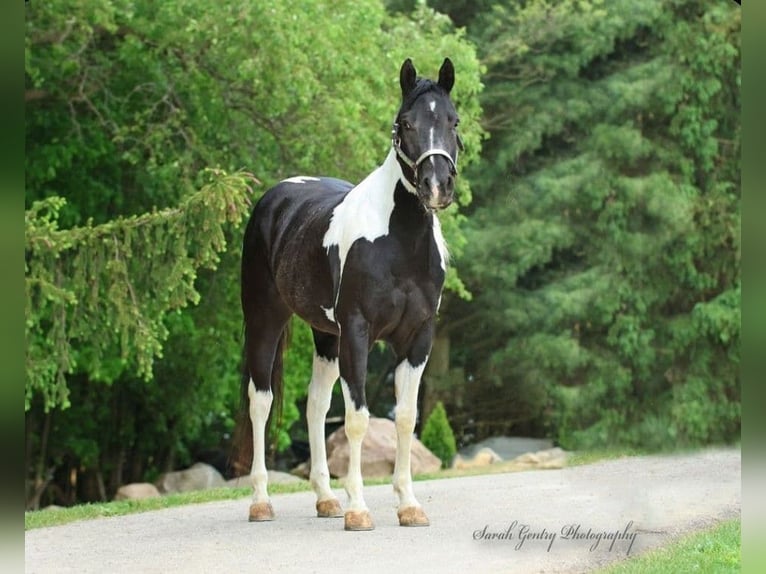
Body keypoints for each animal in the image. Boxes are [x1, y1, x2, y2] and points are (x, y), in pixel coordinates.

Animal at [237, 58, 463, 531]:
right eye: (406, 123)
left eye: (453, 120)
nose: (437, 186)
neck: (399, 241)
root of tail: (276, 195)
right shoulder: (358, 334)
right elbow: (358, 419)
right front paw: (359, 509)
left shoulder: (418, 338)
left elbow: (405, 418)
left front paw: (408, 505)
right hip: (265, 322)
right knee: (260, 402)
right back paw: (261, 502)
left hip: (326, 337)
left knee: (316, 406)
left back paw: (325, 499)